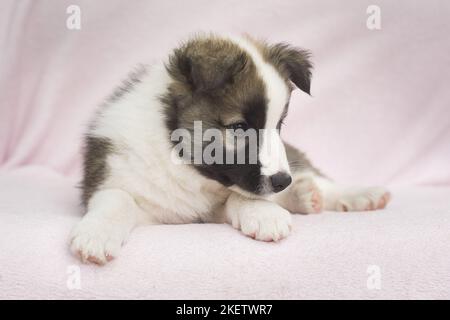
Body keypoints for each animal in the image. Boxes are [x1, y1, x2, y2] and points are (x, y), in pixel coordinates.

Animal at [70, 34, 390, 264]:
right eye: (238, 128)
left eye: (279, 124)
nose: (282, 181)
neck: (183, 165)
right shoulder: (115, 177)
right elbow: (117, 199)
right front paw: (96, 235)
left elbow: (240, 195)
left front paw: (264, 214)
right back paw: (303, 195)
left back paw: (357, 194)